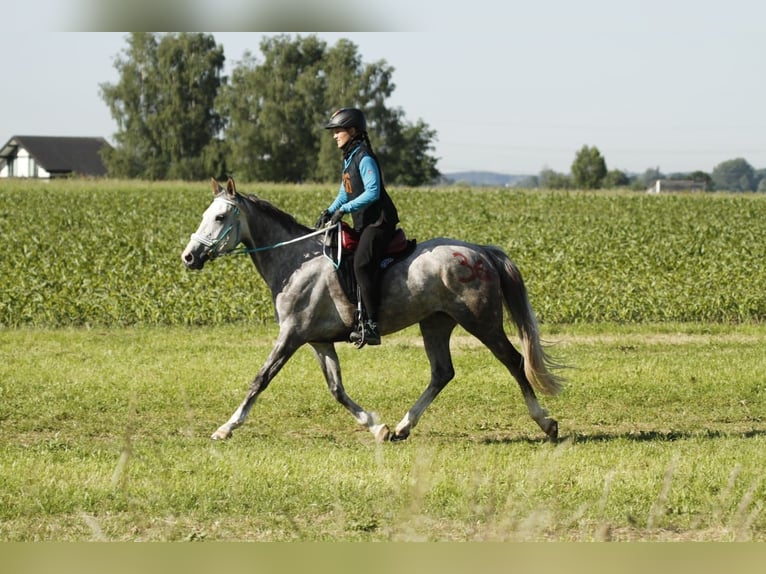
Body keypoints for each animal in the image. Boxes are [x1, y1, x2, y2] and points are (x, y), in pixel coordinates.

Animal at [180, 178, 564, 444]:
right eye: (203, 215)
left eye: (219, 216)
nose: (189, 257)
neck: (295, 261)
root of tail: (480, 251)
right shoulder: (318, 341)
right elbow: (336, 389)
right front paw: (377, 427)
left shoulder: (291, 335)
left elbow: (260, 379)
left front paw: (225, 428)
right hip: (436, 323)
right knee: (442, 372)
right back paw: (403, 427)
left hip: (481, 321)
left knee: (514, 361)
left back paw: (547, 423)